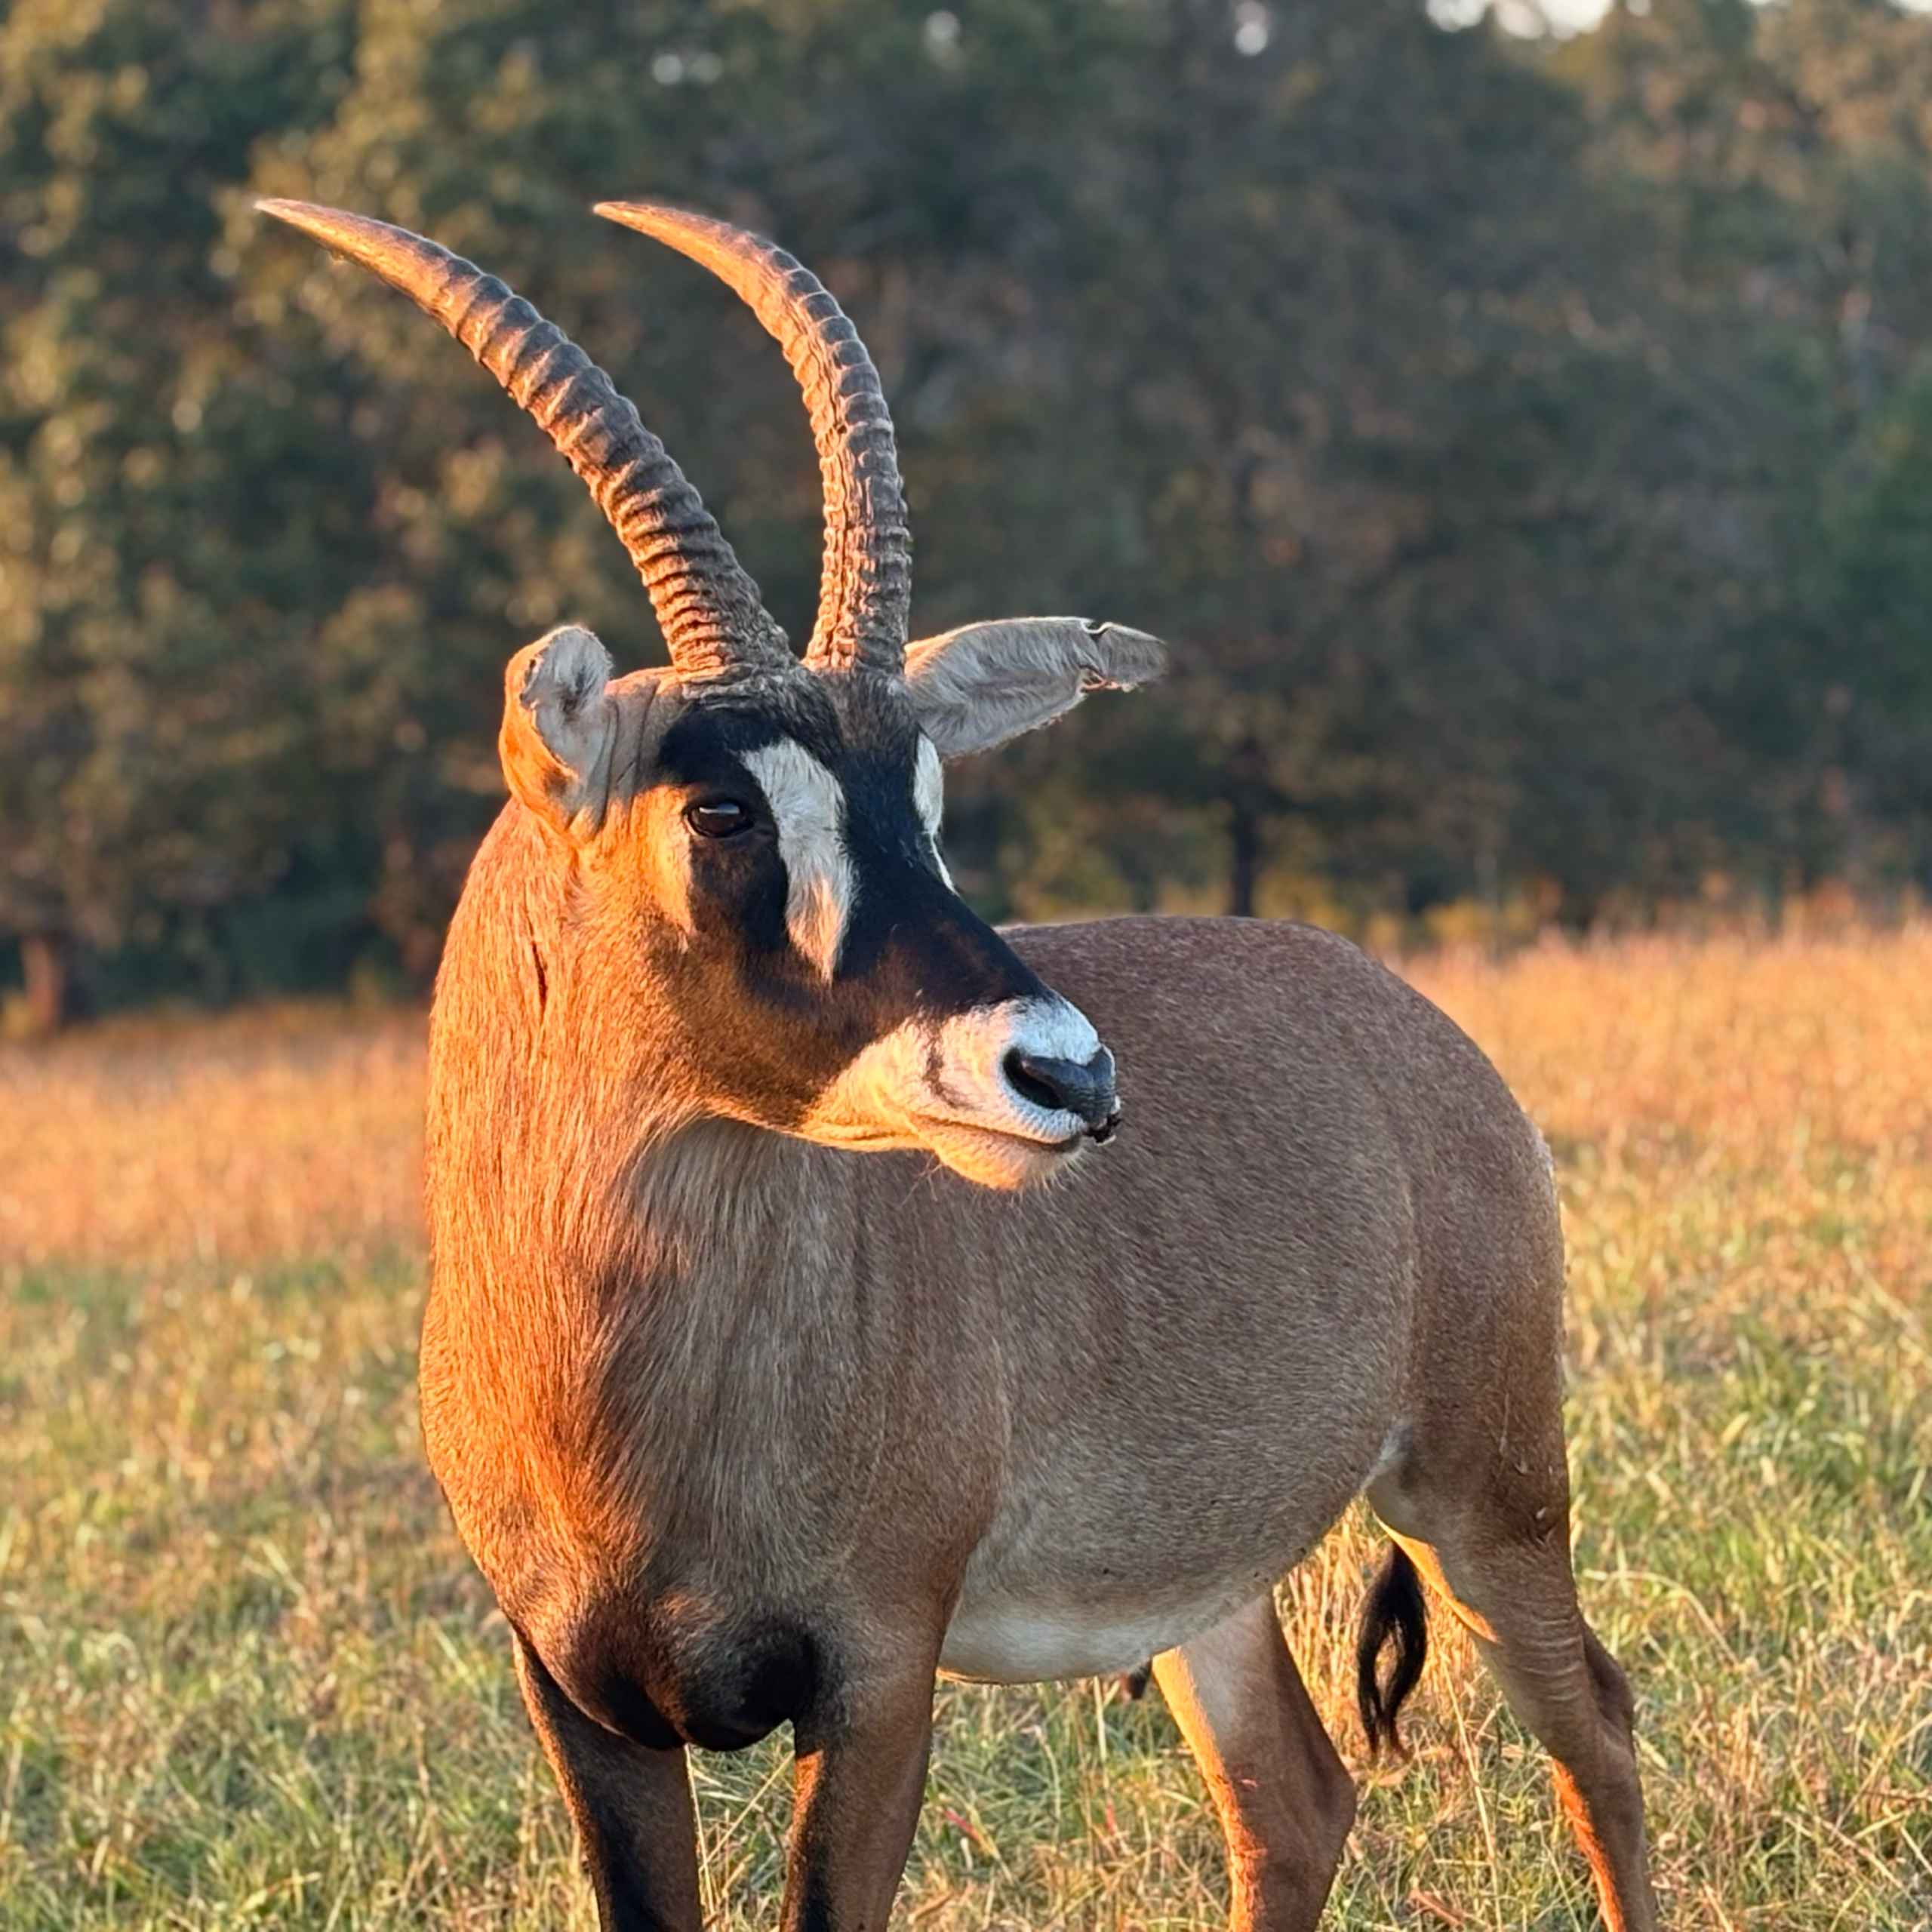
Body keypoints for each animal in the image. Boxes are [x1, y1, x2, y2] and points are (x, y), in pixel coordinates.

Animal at [260, 195, 1658, 1932]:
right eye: (720, 806)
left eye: (920, 792)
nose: (1067, 1077)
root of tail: (1412, 1024)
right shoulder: (580, 1693)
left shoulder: (876, 1673)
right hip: (1206, 1575)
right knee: (1295, 1794)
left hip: (1485, 1484)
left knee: (1594, 1728)